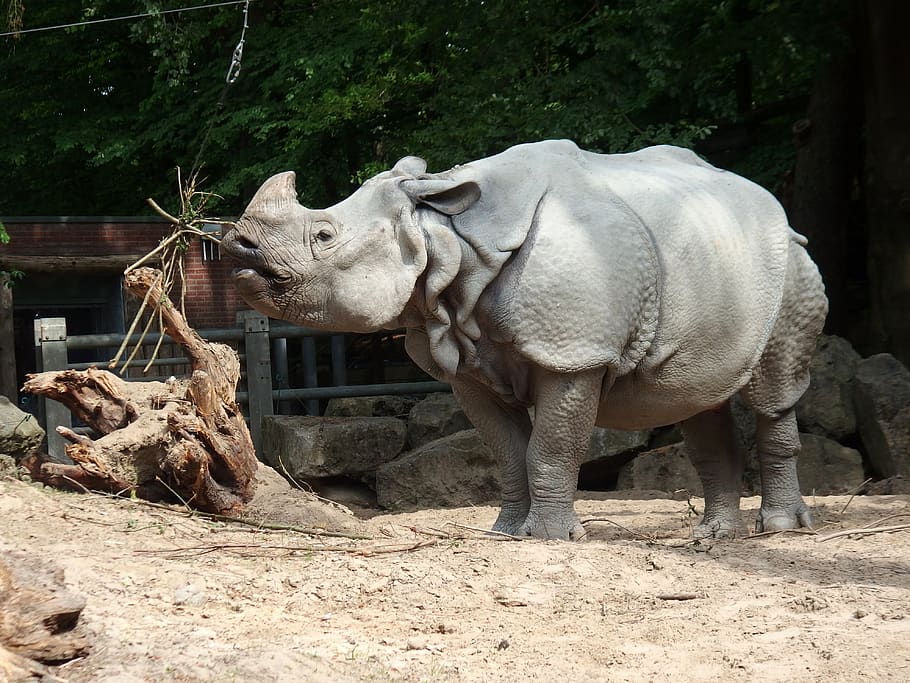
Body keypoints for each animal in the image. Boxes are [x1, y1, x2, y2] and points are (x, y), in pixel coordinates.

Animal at [222, 140, 828, 540]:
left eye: (323, 236)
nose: (238, 248)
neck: (445, 233)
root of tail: (772, 206)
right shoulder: (467, 364)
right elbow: (508, 449)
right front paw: (506, 532)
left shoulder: (574, 353)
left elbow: (552, 444)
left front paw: (550, 538)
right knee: (695, 397)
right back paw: (714, 537)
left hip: (792, 266)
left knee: (773, 391)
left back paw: (779, 529)